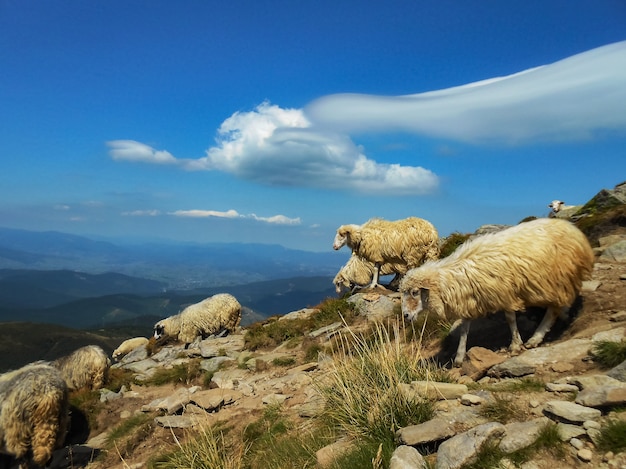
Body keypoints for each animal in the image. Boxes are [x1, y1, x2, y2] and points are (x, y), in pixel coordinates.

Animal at [398, 216, 592, 366]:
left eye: (414, 292)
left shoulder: (504, 292)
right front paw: (459, 357)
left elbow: (510, 318)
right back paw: (564, 315)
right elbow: (464, 329)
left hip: (557, 278)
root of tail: (572, 229)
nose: (406, 316)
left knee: (552, 310)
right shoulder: (472, 297)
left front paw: (515, 344)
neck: (453, 277)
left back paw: (536, 337)